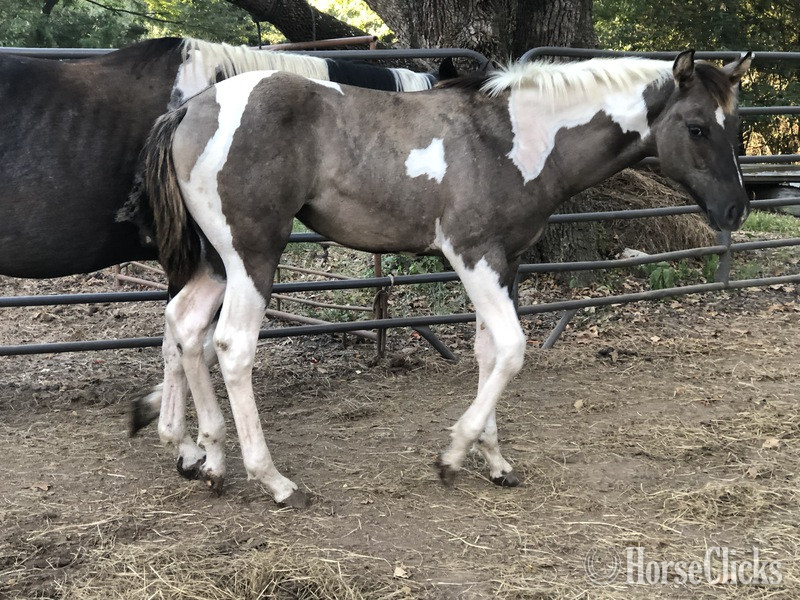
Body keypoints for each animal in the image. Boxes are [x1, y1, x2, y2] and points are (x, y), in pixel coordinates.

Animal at [135, 50, 752, 507]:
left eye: (736, 125)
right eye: (697, 127)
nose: (736, 209)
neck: (515, 140)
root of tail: (191, 110)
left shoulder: (505, 262)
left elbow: (489, 351)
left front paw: (495, 461)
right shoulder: (472, 254)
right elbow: (512, 348)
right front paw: (453, 455)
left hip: (219, 261)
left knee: (184, 327)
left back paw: (205, 458)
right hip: (254, 255)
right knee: (231, 346)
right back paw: (274, 482)